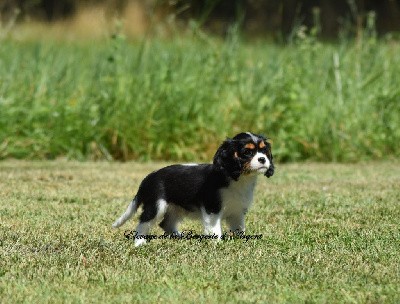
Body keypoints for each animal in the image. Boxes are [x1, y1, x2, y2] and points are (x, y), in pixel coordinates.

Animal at [112, 132, 276, 246]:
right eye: (247, 152)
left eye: (264, 151)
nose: (263, 159)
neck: (239, 179)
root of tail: (148, 178)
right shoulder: (212, 208)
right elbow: (215, 229)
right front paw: (217, 244)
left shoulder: (237, 211)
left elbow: (239, 228)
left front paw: (242, 240)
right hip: (157, 205)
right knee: (143, 223)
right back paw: (140, 243)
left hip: (175, 208)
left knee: (165, 223)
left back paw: (180, 236)